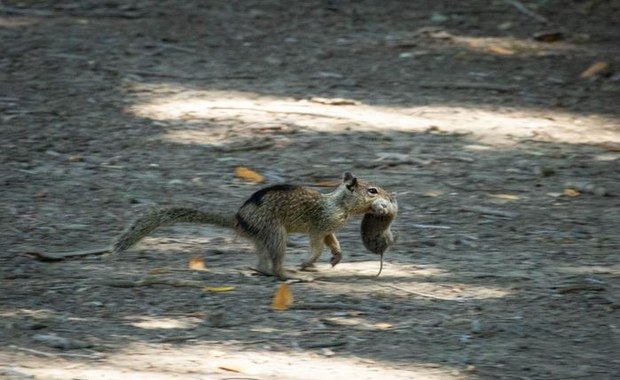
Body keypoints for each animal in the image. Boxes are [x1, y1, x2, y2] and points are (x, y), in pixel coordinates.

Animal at [109, 172, 390, 280]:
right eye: (372, 190)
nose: (390, 197)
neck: (339, 204)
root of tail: (238, 219)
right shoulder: (318, 225)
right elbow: (317, 246)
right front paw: (308, 262)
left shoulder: (329, 229)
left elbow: (333, 242)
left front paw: (336, 257)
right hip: (275, 233)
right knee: (275, 265)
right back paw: (290, 274)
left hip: (264, 237)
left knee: (262, 263)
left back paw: (264, 270)